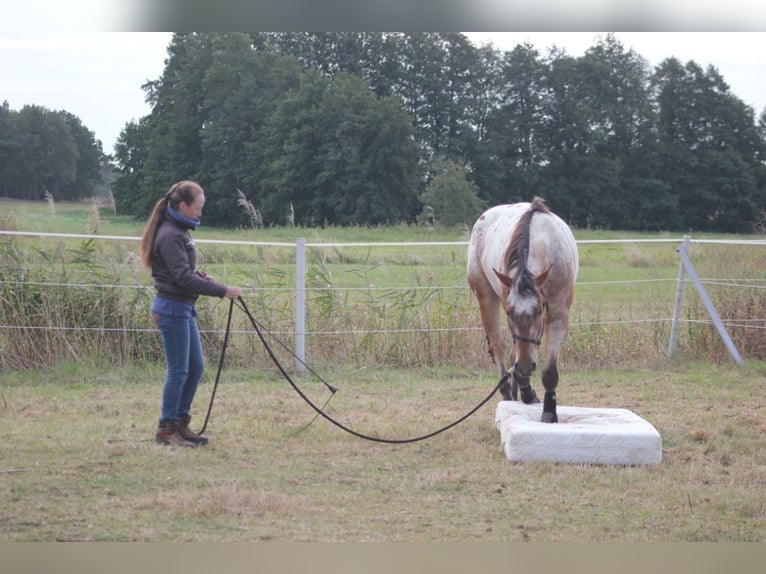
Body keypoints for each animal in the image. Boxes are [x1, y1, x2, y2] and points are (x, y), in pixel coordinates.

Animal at [464, 198, 580, 424]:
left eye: (538, 312)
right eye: (510, 313)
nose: (526, 366)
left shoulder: (559, 314)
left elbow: (549, 371)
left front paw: (549, 412)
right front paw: (527, 392)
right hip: (486, 298)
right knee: (499, 349)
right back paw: (510, 393)